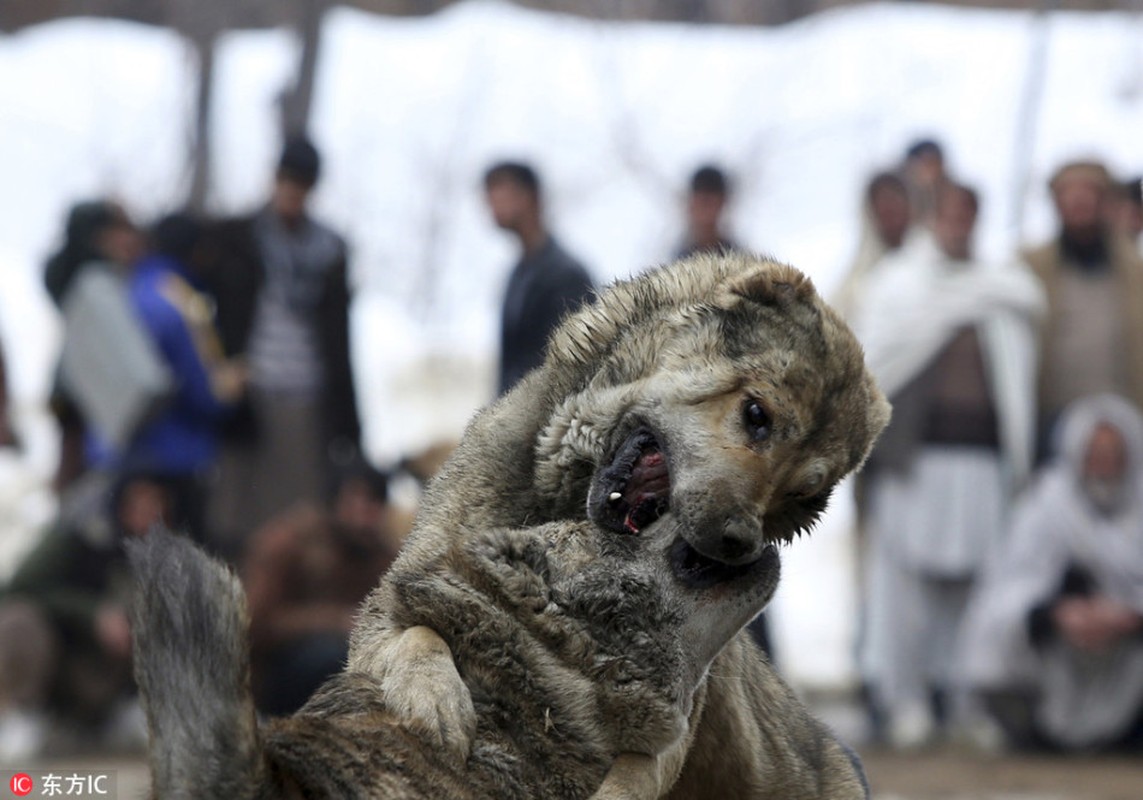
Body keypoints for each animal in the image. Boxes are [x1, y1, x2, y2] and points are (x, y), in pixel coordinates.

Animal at [349, 252, 891, 795]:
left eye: (804, 493)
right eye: (757, 415)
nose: (740, 543)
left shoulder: (672, 723)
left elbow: (635, 772)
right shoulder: (385, 613)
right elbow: (416, 636)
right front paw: (434, 701)